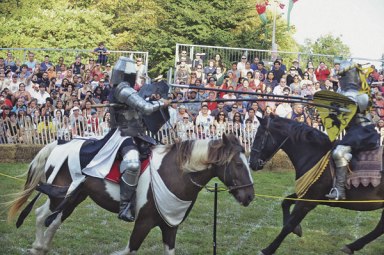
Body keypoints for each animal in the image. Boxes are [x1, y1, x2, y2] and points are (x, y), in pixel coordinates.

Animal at [7, 133, 255, 255]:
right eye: (238, 164)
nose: (250, 196)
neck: (173, 173)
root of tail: (60, 144)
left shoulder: (170, 227)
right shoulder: (143, 223)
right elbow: (128, 250)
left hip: (74, 196)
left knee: (54, 221)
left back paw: (42, 247)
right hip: (59, 195)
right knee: (42, 215)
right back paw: (38, 247)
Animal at [249, 116, 384, 255]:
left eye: (258, 136)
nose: (251, 163)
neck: (314, 155)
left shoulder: (308, 201)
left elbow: (289, 225)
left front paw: (268, 249)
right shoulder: (306, 194)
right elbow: (285, 202)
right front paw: (297, 229)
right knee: (380, 228)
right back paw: (351, 246)